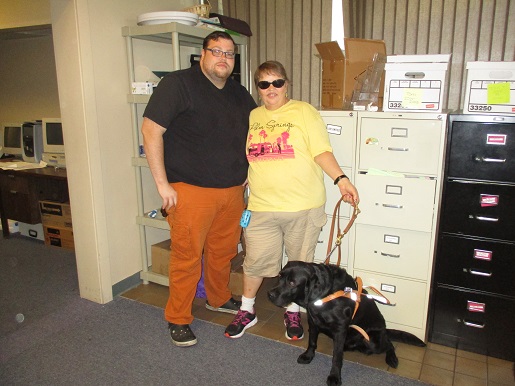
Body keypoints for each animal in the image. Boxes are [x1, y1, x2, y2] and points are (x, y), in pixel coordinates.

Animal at [268, 260, 426, 384]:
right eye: (280, 276)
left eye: (292, 283)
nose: (270, 294)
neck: (325, 293)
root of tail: (385, 329)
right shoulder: (313, 321)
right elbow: (312, 342)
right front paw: (308, 356)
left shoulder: (340, 329)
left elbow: (336, 356)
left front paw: (334, 376)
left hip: (372, 341)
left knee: (389, 344)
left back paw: (392, 358)